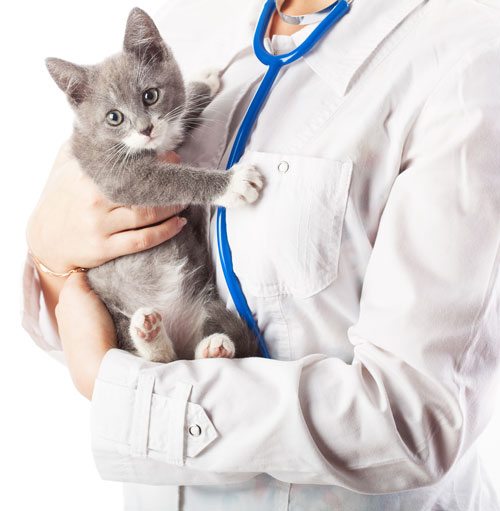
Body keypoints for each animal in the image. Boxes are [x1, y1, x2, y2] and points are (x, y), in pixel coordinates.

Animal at [46, 7, 262, 360]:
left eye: (151, 96)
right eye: (114, 117)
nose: (146, 129)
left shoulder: (170, 126)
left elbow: (183, 108)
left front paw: (203, 80)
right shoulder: (116, 176)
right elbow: (172, 179)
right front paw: (232, 184)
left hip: (205, 304)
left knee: (185, 356)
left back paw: (213, 348)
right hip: (113, 308)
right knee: (156, 358)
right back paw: (150, 336)